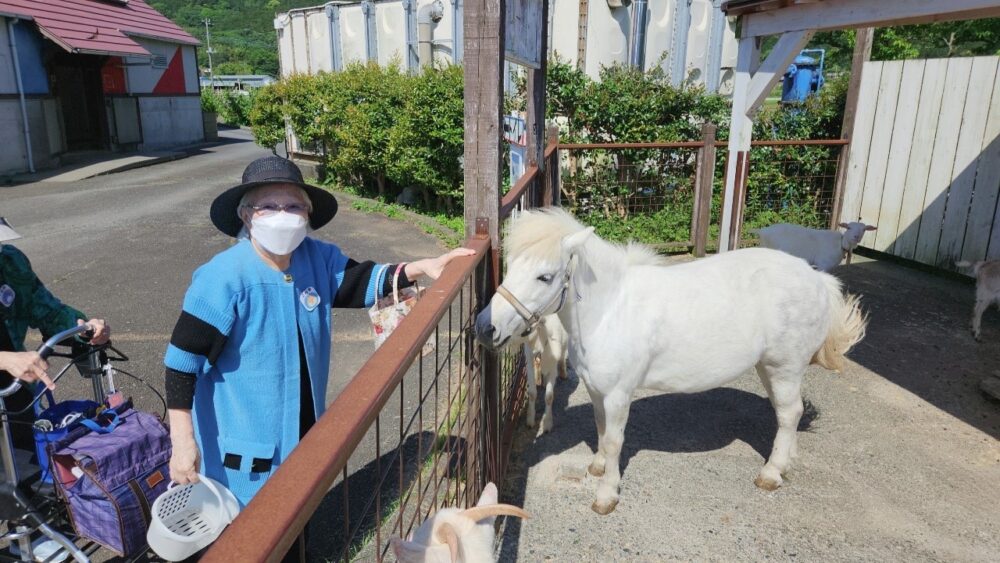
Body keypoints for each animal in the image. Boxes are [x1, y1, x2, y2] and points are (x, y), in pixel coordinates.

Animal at [472, 210, 864, 516]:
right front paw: (597, 467)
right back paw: (786, 464)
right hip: (769, 368)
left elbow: (614, 441)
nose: (485, 327)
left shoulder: (618, 394)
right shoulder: (598, 390)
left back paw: (771, 473)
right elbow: (600, 429)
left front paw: (606, 495)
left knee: (788, 414)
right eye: (511, 267)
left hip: (785, 367)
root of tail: (818, 279)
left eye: (545, 277)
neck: (611, 308)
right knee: (789, 415)